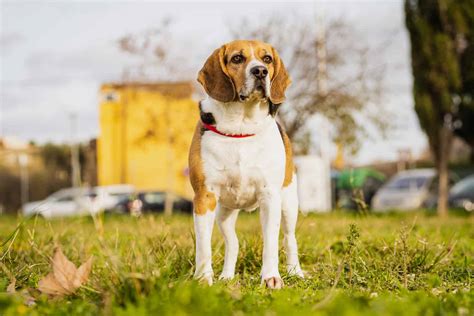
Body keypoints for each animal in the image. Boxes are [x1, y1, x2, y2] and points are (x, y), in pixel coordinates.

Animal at [189, 39, 304, 288]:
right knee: (232, 243)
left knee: (289, 238)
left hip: (289, 204)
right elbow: (203, 246)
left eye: (267, 58)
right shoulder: (204, 197)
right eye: (237, 58)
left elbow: (271, 243)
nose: (260, 71)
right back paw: (226, 276)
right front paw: (203, 278)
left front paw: (270, 277)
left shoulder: (270, 197)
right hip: (224, 214)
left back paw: (295, 272)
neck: (241, 125)